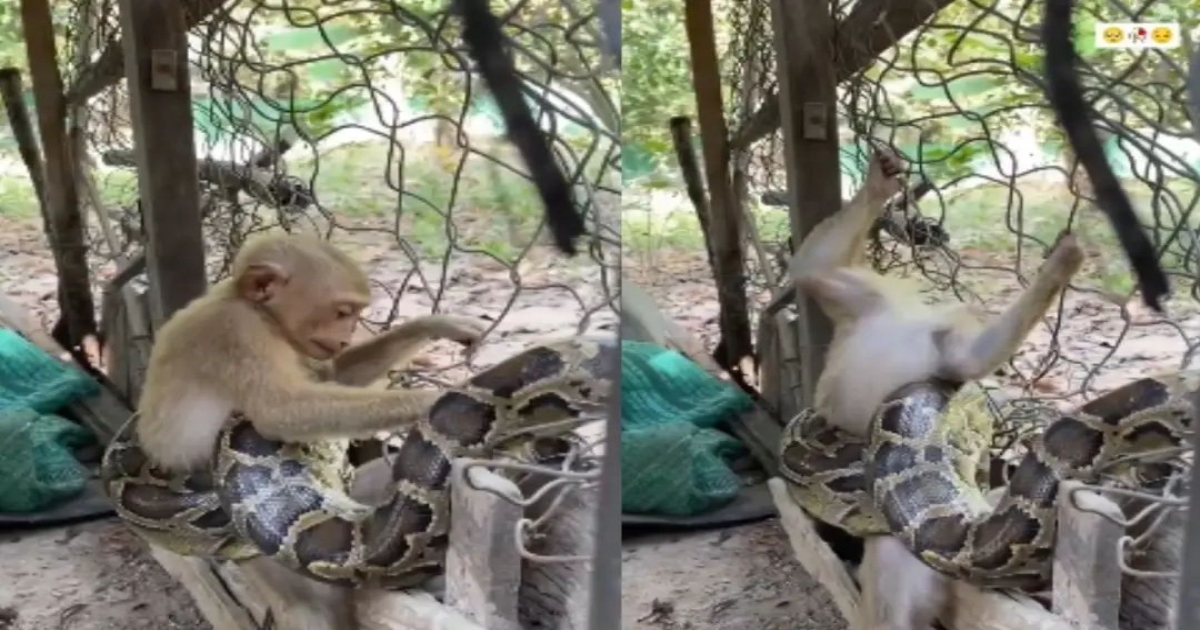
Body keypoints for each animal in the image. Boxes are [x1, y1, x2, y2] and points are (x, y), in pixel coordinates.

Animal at [134, 231, 489, 628]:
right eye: (342, 312)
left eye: (354, 315)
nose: (346, 335)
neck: (257, 311)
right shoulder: (237, 332)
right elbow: (283, 411)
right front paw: (439, 398)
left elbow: (334, 375)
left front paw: (439, 324)